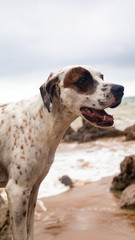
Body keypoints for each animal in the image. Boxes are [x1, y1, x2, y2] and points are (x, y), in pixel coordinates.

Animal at [0, 64, 124, 239]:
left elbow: (30, 230)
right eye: (83, 80)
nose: (121, 89)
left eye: (102, 76)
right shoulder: (17, 191)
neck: (43, 121)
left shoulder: (33, 189)